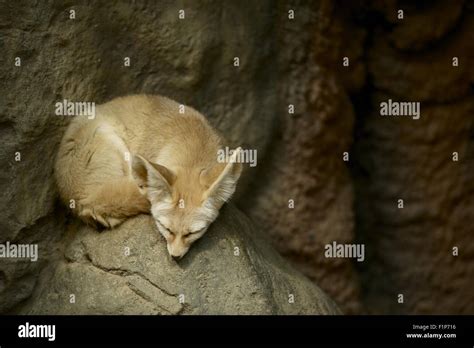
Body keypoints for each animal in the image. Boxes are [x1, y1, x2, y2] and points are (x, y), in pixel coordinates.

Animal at [53, 95, 243, 258]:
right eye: (166, 229)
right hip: (113, 143)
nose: (175, 257)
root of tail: (80, 197)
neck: (194, 145)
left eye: (192, 233)